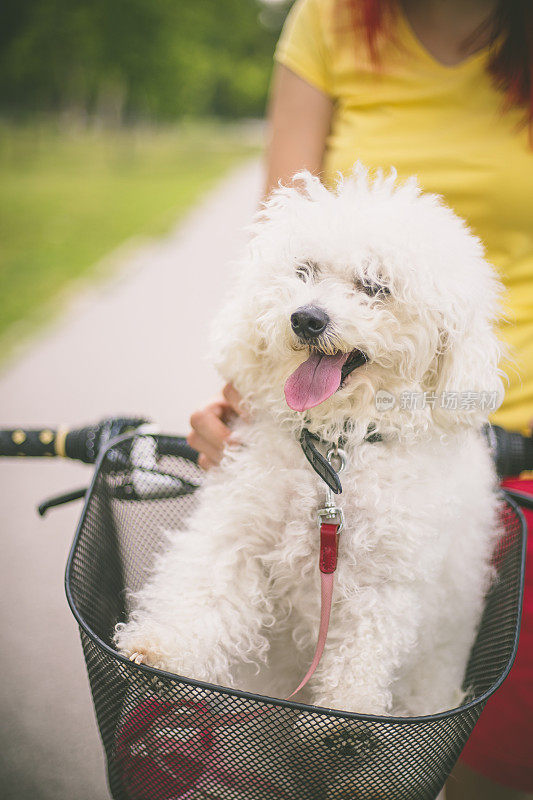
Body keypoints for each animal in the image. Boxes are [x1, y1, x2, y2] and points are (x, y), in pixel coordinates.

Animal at [113, 166, 502, 716]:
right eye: (304, 271)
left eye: (375, 286)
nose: (307, 318)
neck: (335, 447)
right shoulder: (238, 533)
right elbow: (204, 589)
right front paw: (162, 648)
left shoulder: (386, 584)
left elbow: (363, 652)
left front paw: (347, 713)